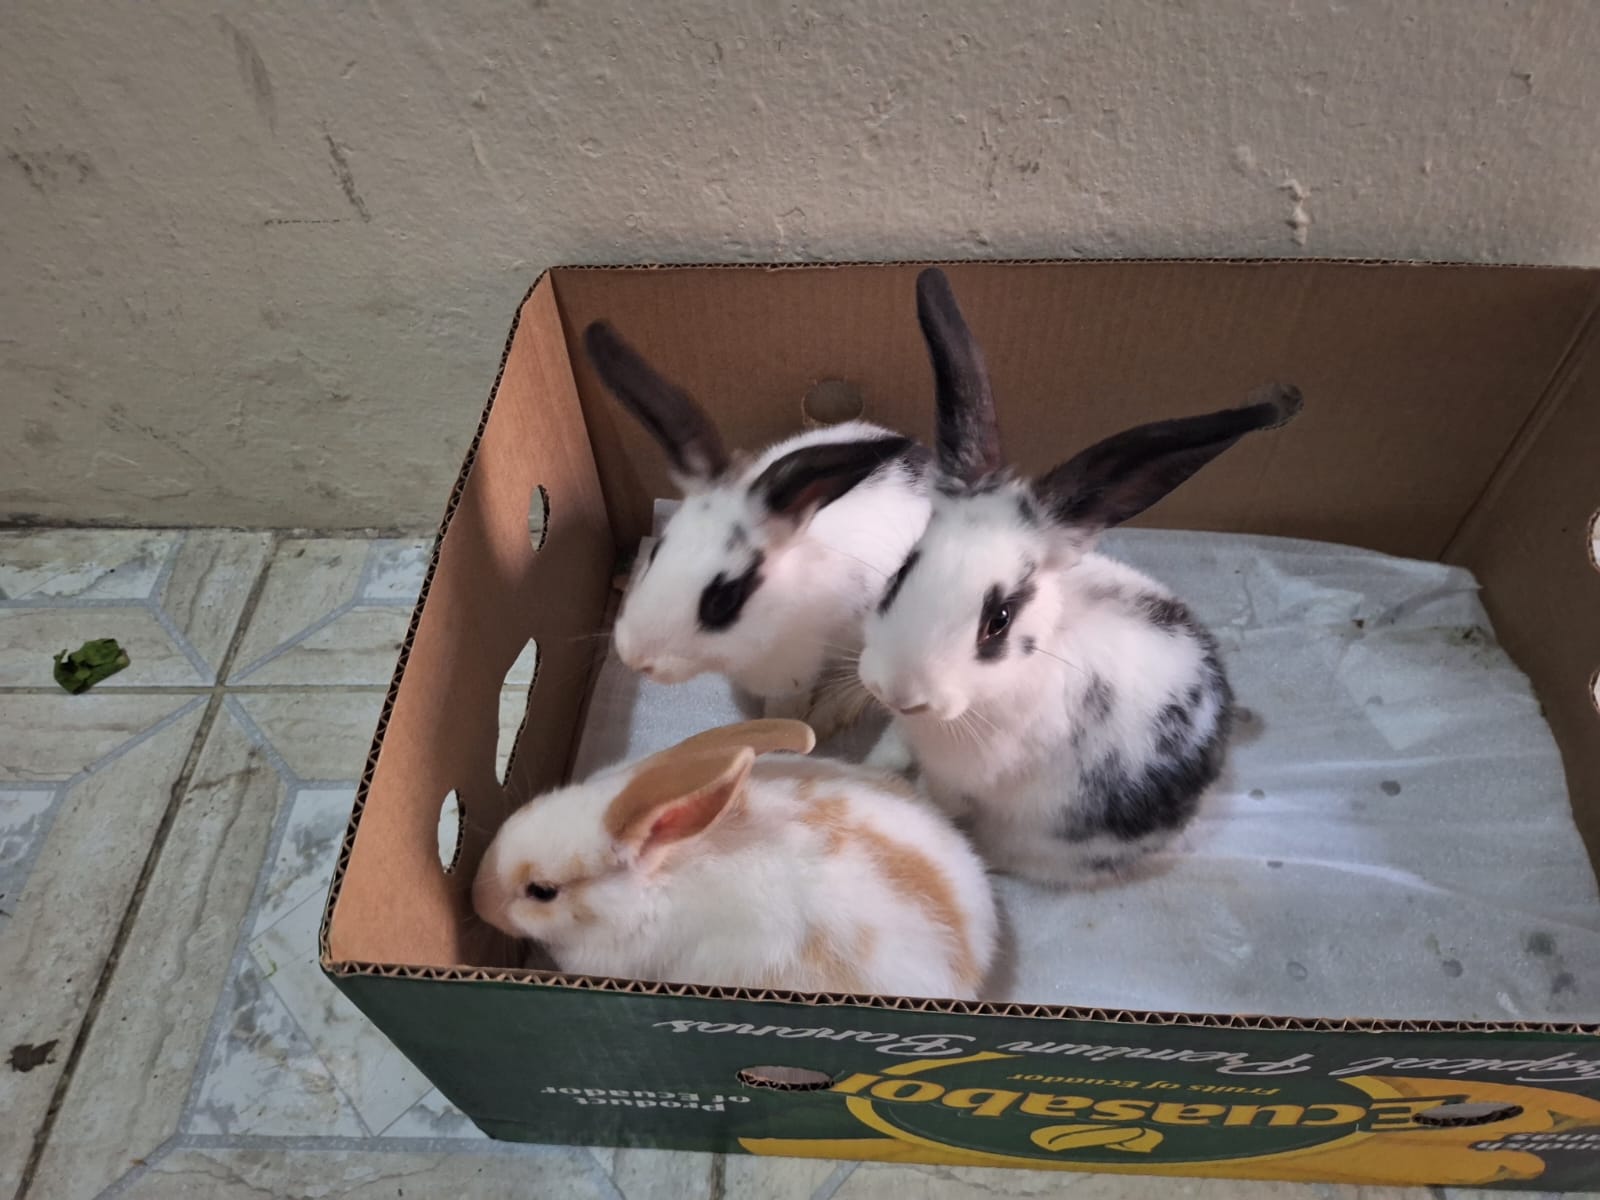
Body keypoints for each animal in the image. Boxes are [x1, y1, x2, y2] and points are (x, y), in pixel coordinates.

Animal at [583, 321, 932, 739]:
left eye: (723, 600)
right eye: (654, 552)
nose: (637, 660)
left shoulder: (793, 674)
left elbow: (786, 710)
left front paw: (790, 731)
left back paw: (829, 713)